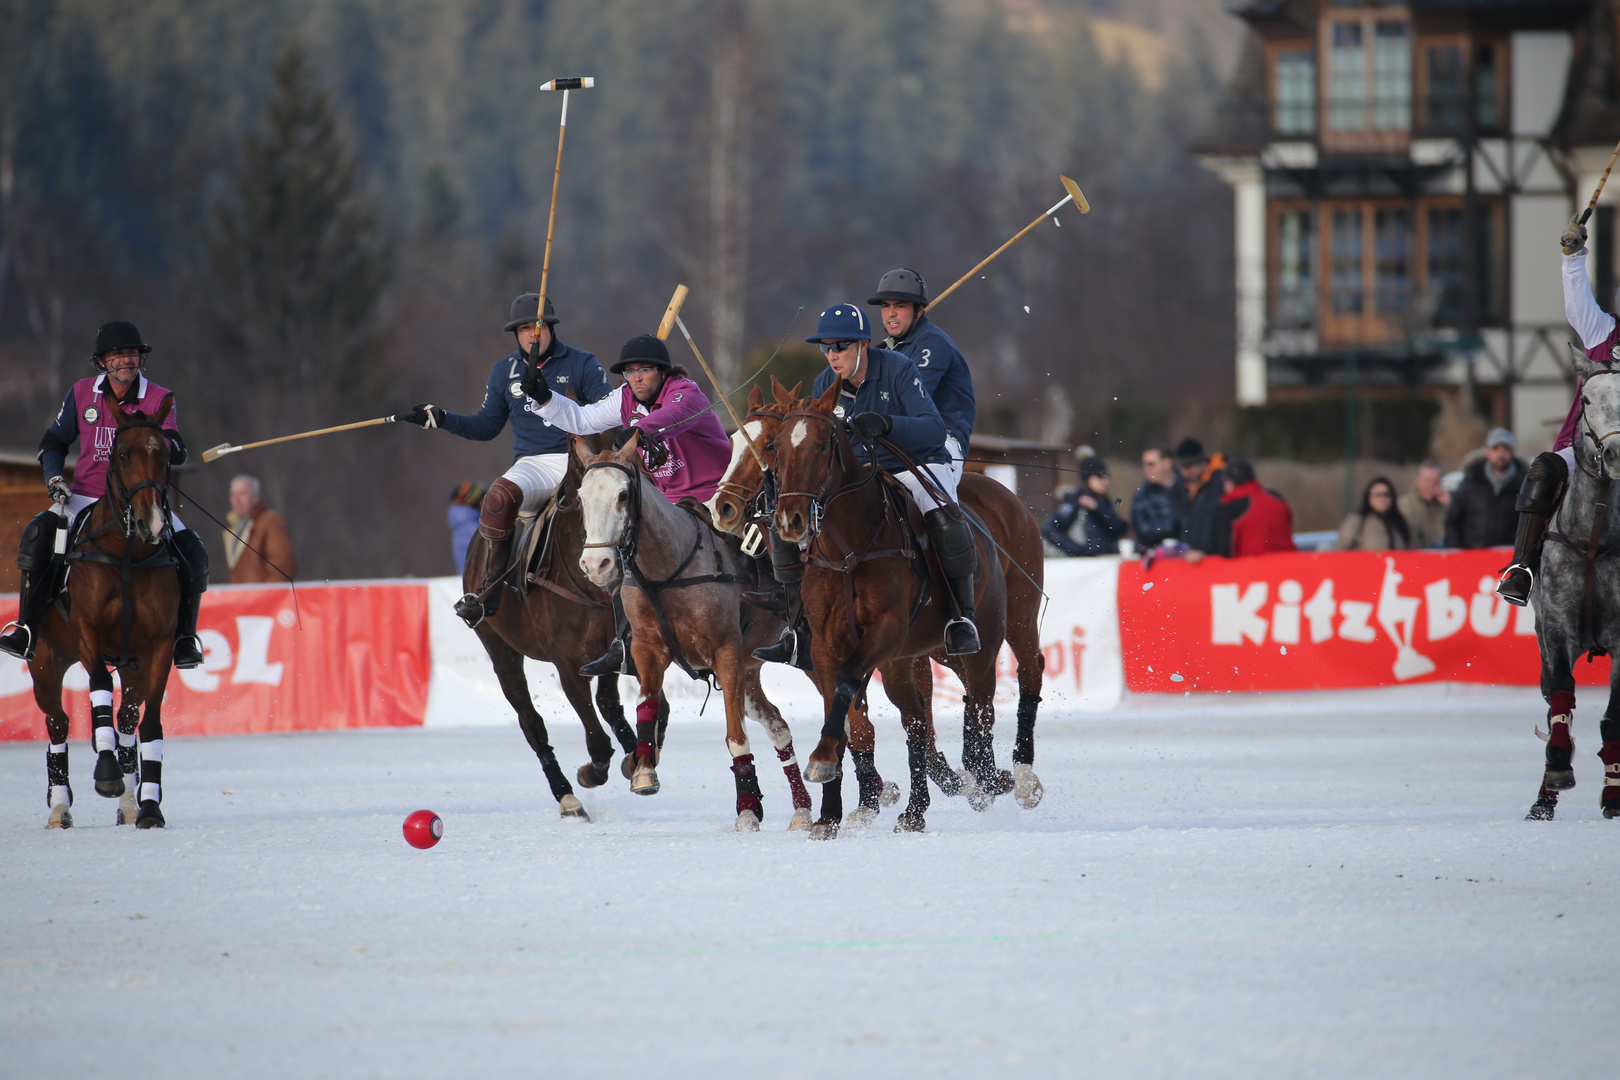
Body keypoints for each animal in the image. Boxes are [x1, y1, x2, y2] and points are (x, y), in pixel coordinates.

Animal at [28, 395, 180, 829]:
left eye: (166, 454)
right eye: (123, 454)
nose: (152, 524)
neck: (128, 553)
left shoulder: (159, 646)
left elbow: (150, 722)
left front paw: (150, 807)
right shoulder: (88, 633)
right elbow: (97, 688)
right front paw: (107, 773)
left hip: (133, 666)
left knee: (127, 719)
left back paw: (129, 805)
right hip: (45, 660)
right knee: (58, 723)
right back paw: (59, 807)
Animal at [463, 430, 651, 819]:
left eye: (626, 495)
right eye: (580, 500)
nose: (600, 565)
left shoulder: (621, 650)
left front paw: (635, 760)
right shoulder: (566, 666)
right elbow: (597, 742)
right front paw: (593, 772)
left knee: (608, 701)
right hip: (499, 649)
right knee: (530, 721)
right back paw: (567, 797)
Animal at [573, 430, 822, 829]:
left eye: (623, 495)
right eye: (581, 497)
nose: (597, 564)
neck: (666, 569)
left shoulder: (725, 652)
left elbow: (735, 736)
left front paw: (747, 810)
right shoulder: (648, 648)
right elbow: (646, 702)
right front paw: (644, 771)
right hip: (750, 670)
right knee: (778, 725)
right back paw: (801, 809)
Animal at [712, 375, 1043, 835]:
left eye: (819, 445)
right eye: (776, 445)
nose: (722, 507)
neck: (848, 549)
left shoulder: (883, 633)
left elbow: (851, 696)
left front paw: (832, 772)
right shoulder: (824, 647)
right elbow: (853, 721)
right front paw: (840, 809)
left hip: (1007, 624)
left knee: (1003, 690)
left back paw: (1011, 778)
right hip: (929, 649)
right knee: (925, 715)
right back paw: (930, 802)